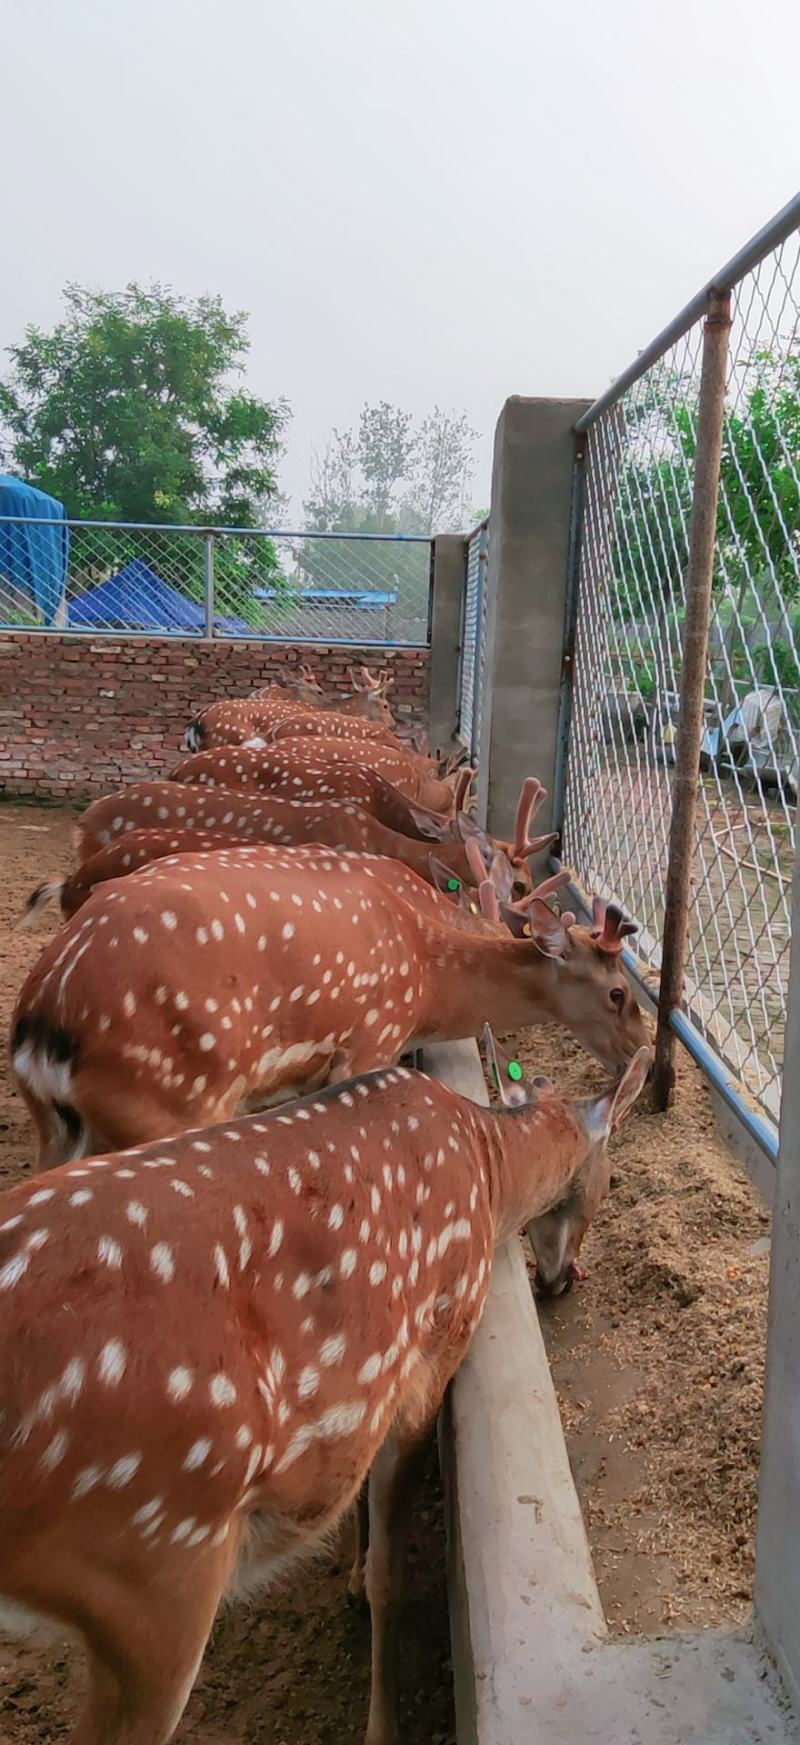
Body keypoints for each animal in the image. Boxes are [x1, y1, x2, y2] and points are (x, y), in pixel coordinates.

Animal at [0, 1033, 649, 1745]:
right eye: (611, 1180)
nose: (557, 1282)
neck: (488, 1170)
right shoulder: (429, 1358)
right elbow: (392, 1572)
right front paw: (382, 1716)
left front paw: (348, 1573)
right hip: (149, 1563)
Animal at [12, 837, 649, 1165]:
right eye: (618, 993)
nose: (639, 1053)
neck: (427, 984)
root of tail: (44, 1016)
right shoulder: (371, 1038)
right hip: (171, 1095)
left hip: (58, 1125)